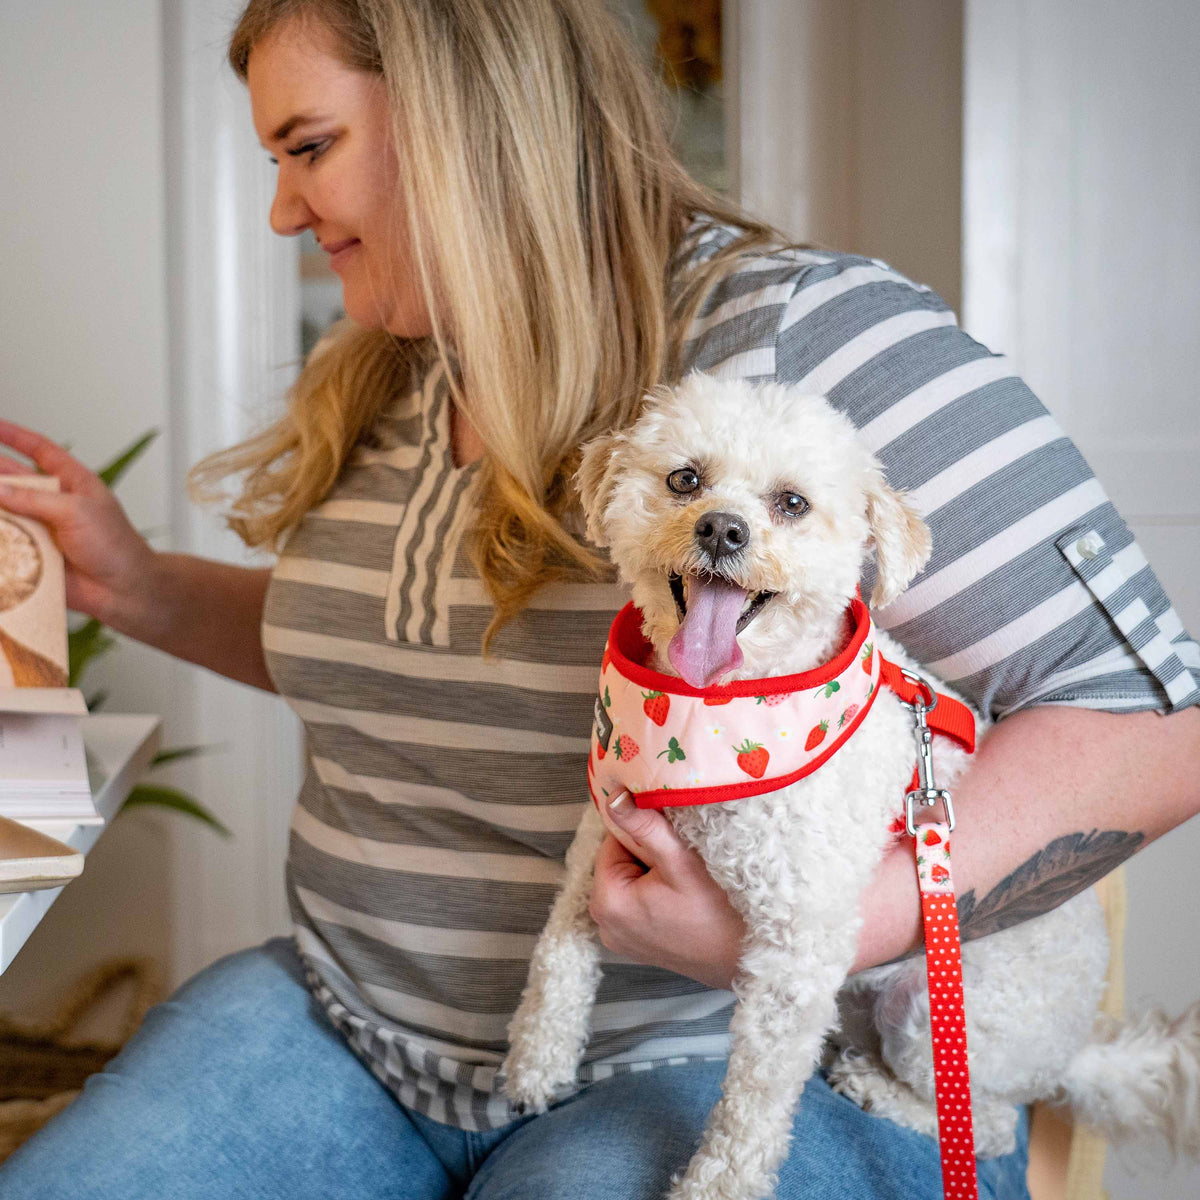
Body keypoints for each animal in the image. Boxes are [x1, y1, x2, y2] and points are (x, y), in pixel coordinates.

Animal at [499, 374, 1200, 1200]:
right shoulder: (596, 845)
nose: (722, 530)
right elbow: (557, 955)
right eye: (684, 480)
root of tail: (1074, 1050)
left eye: (792, 503)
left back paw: (878, 1091)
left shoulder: (796, 955)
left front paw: (715, 1186)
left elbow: (752, 1106)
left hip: (937, 1012)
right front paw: (536, 1060)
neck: (721, 706)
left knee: (988, 1123)